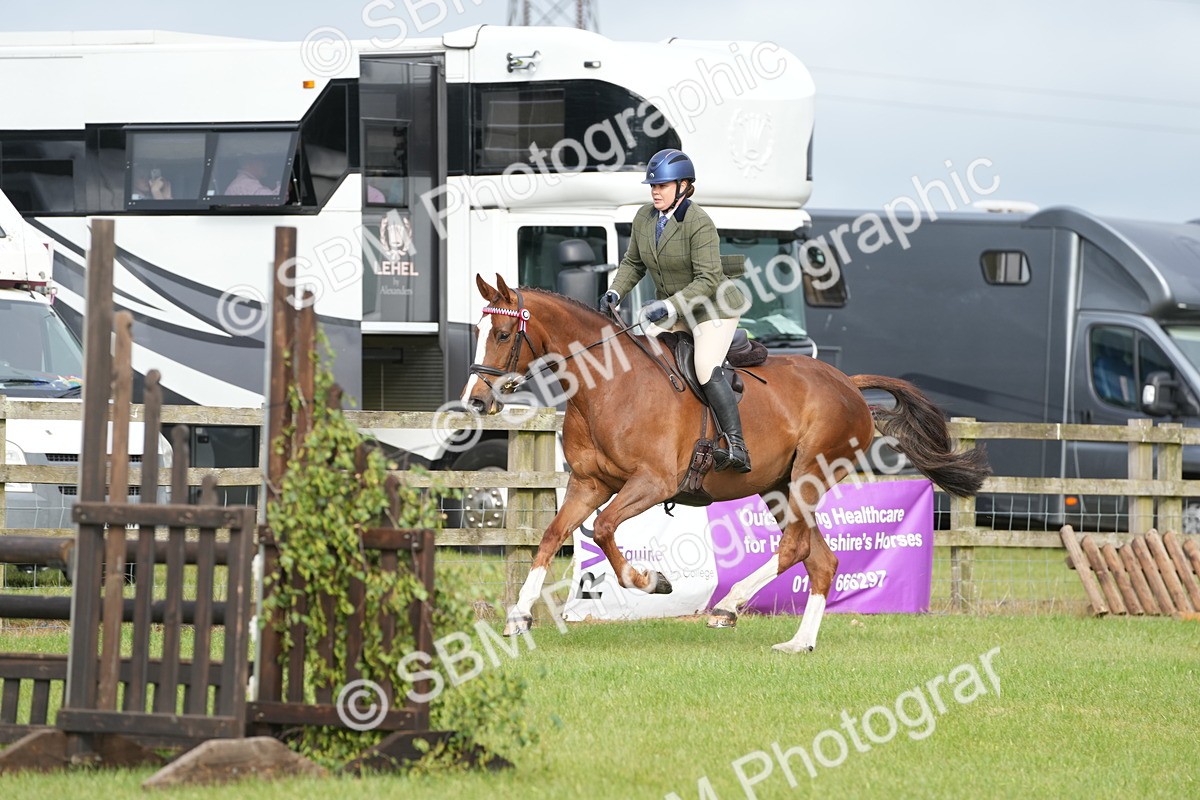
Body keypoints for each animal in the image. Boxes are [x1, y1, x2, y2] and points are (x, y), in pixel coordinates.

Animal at [463, 274, 990, 652]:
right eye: (478, 331)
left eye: (504, 334)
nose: (475, 401)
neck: (606, 386)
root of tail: (848, 383)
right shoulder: (589, 484)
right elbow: (552, 536)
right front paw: (519, 614)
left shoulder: (652, 483)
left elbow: (606, 528)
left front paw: (650, 581)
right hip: (780, 487)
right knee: (820, 558)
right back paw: (799, 643)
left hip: (809, 476)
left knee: (796, 546)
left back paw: (729, 606)